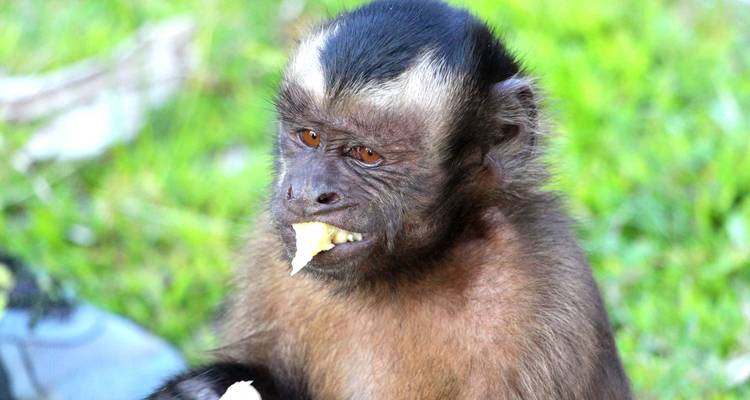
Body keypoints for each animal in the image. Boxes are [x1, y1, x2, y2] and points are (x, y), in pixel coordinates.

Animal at [150, 0, 631, 399]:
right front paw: (200, 389)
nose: (305, 191)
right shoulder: (269, 255)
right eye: (309, 136)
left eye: (366, 154)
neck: (418, 264)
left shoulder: (539, 294)